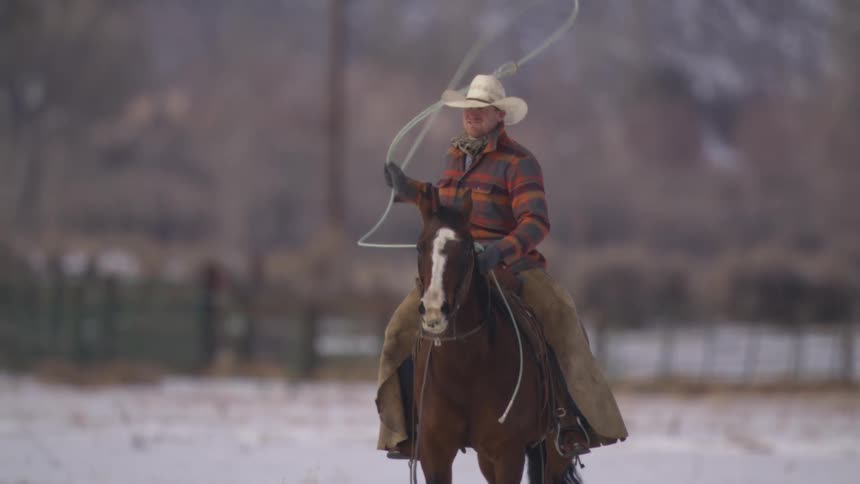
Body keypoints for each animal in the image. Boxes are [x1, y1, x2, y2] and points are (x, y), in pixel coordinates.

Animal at [409, 183, 582, 484]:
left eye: (466, 249)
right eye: (420, 246)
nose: (434, 309)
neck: (464, 368)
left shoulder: (506, 453)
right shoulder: (435, 452)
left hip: (552, 453)